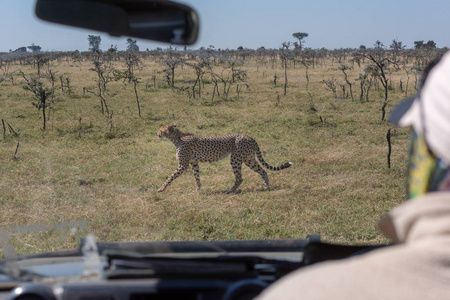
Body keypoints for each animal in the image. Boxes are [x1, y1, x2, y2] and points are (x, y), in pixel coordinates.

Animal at [156, 125, 294, 192]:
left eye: (160, 130)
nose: (157, 134)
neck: (177, 137)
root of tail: (248, 136)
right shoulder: (194, 162)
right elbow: (196, 177)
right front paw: (198, 189)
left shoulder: (183, 165)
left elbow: (170, 177)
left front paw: (161, 188)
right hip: (249, 159)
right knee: (263, 171)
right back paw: (267, 187)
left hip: (236, 159)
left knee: (239, 177)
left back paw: (230, 190)